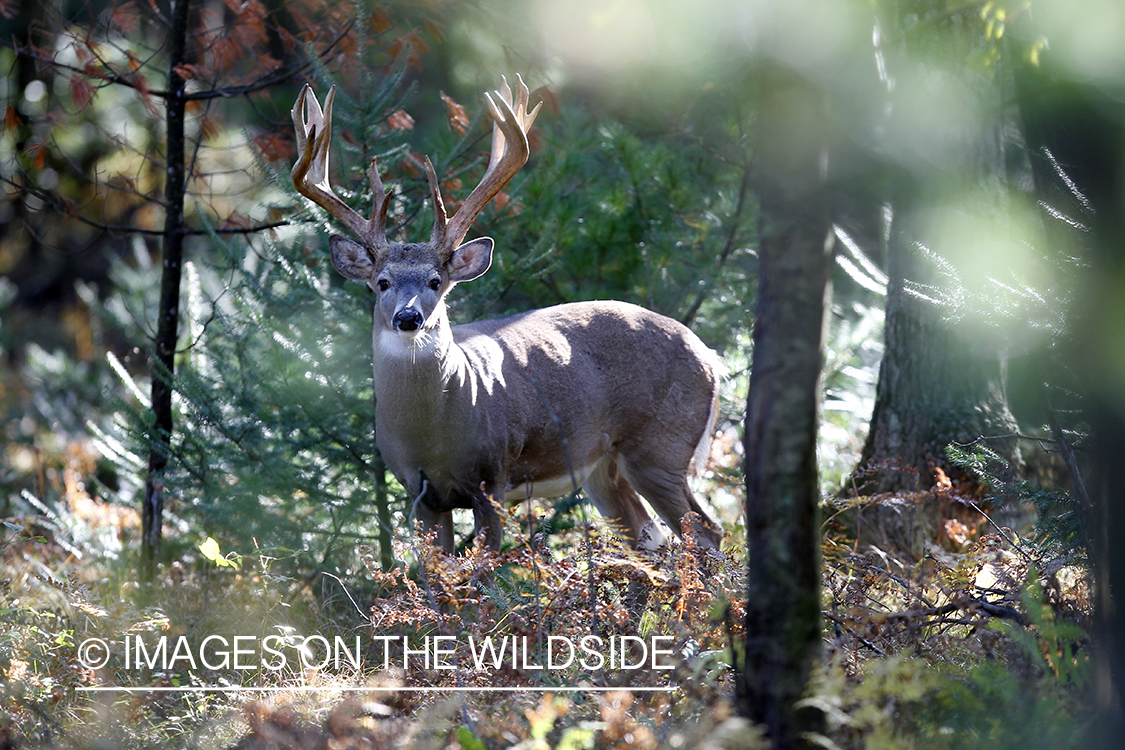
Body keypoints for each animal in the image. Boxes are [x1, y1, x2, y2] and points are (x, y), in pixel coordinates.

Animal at [292, 76, 720, 555]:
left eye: (436, 281)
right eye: (381, 282)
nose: (408, 318)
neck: (433, 435)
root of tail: (709, 355)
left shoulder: (490, 478)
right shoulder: (418, 493)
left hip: (662, 445)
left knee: (705, 531)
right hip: (601, 468)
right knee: (650, 537)